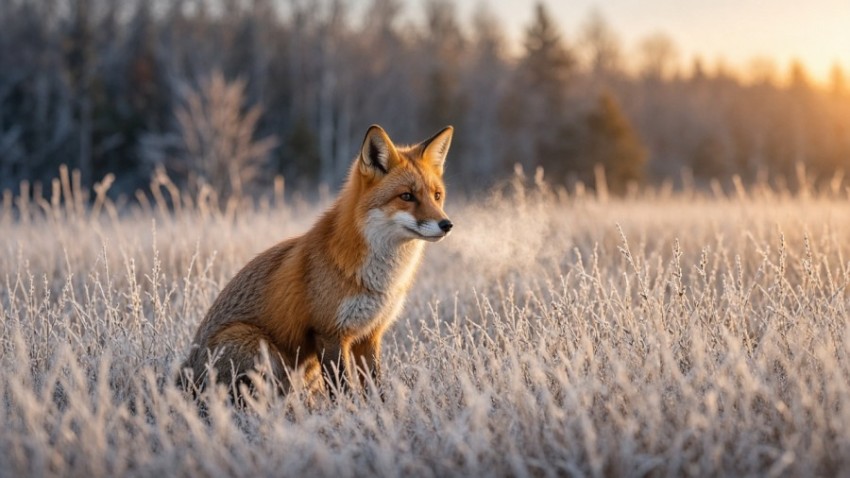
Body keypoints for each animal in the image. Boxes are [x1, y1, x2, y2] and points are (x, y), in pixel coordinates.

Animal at [179, 124, 454, 399]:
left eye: (437, 195)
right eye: (406, 196)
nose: (447, 224)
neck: (379, 278)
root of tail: (183, 376)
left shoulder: (370, 334)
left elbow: (375, 385)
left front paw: (379, 407)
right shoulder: (329, 333)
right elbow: (342, 387)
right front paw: (347, 409)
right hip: (255, 343)